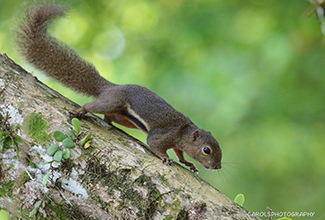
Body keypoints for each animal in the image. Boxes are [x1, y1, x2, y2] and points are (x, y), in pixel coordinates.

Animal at [16, 3, 221, 172]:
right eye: (207, 150)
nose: (217, 166)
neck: (184, 131)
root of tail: (111, 87)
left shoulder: (177, 144)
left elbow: (180, 154)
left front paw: (188, 163)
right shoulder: (165, 135)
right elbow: (155, 144)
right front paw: (165, 158)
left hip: (123, 116)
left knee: (109, 117)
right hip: (112, 102)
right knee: (92, 106)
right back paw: (79, 112)